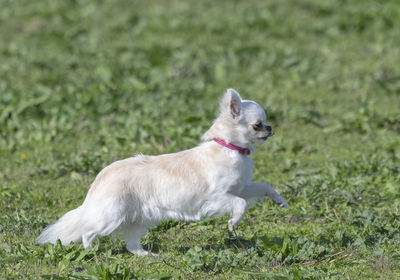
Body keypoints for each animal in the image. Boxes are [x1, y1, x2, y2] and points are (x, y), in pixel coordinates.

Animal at [36, 89, 288, 256]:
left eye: (264, 123)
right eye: (257, 125)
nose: (270, 128)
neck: (229, 148)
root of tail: (100, 178)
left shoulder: (242, 187)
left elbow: (263, 186)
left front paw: (280, 200)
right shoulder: (218, 197)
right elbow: (241, 205)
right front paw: (233, 223)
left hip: (138, 219)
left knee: (131, 244)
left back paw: (146, 255)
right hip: (110, 215)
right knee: (88, 231)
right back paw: (91, 250)